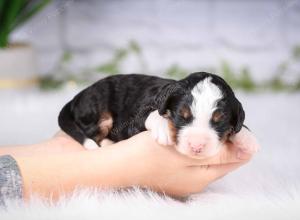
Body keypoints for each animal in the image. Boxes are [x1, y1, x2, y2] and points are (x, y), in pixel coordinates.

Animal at [58, 72, 258, 158]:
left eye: (219, 122)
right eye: (181, 116)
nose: (197, 147)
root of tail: (76, 97)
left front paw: (248, 138)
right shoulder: (132, 121)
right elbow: (150, 114)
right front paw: (163, 127)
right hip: (98, 112)